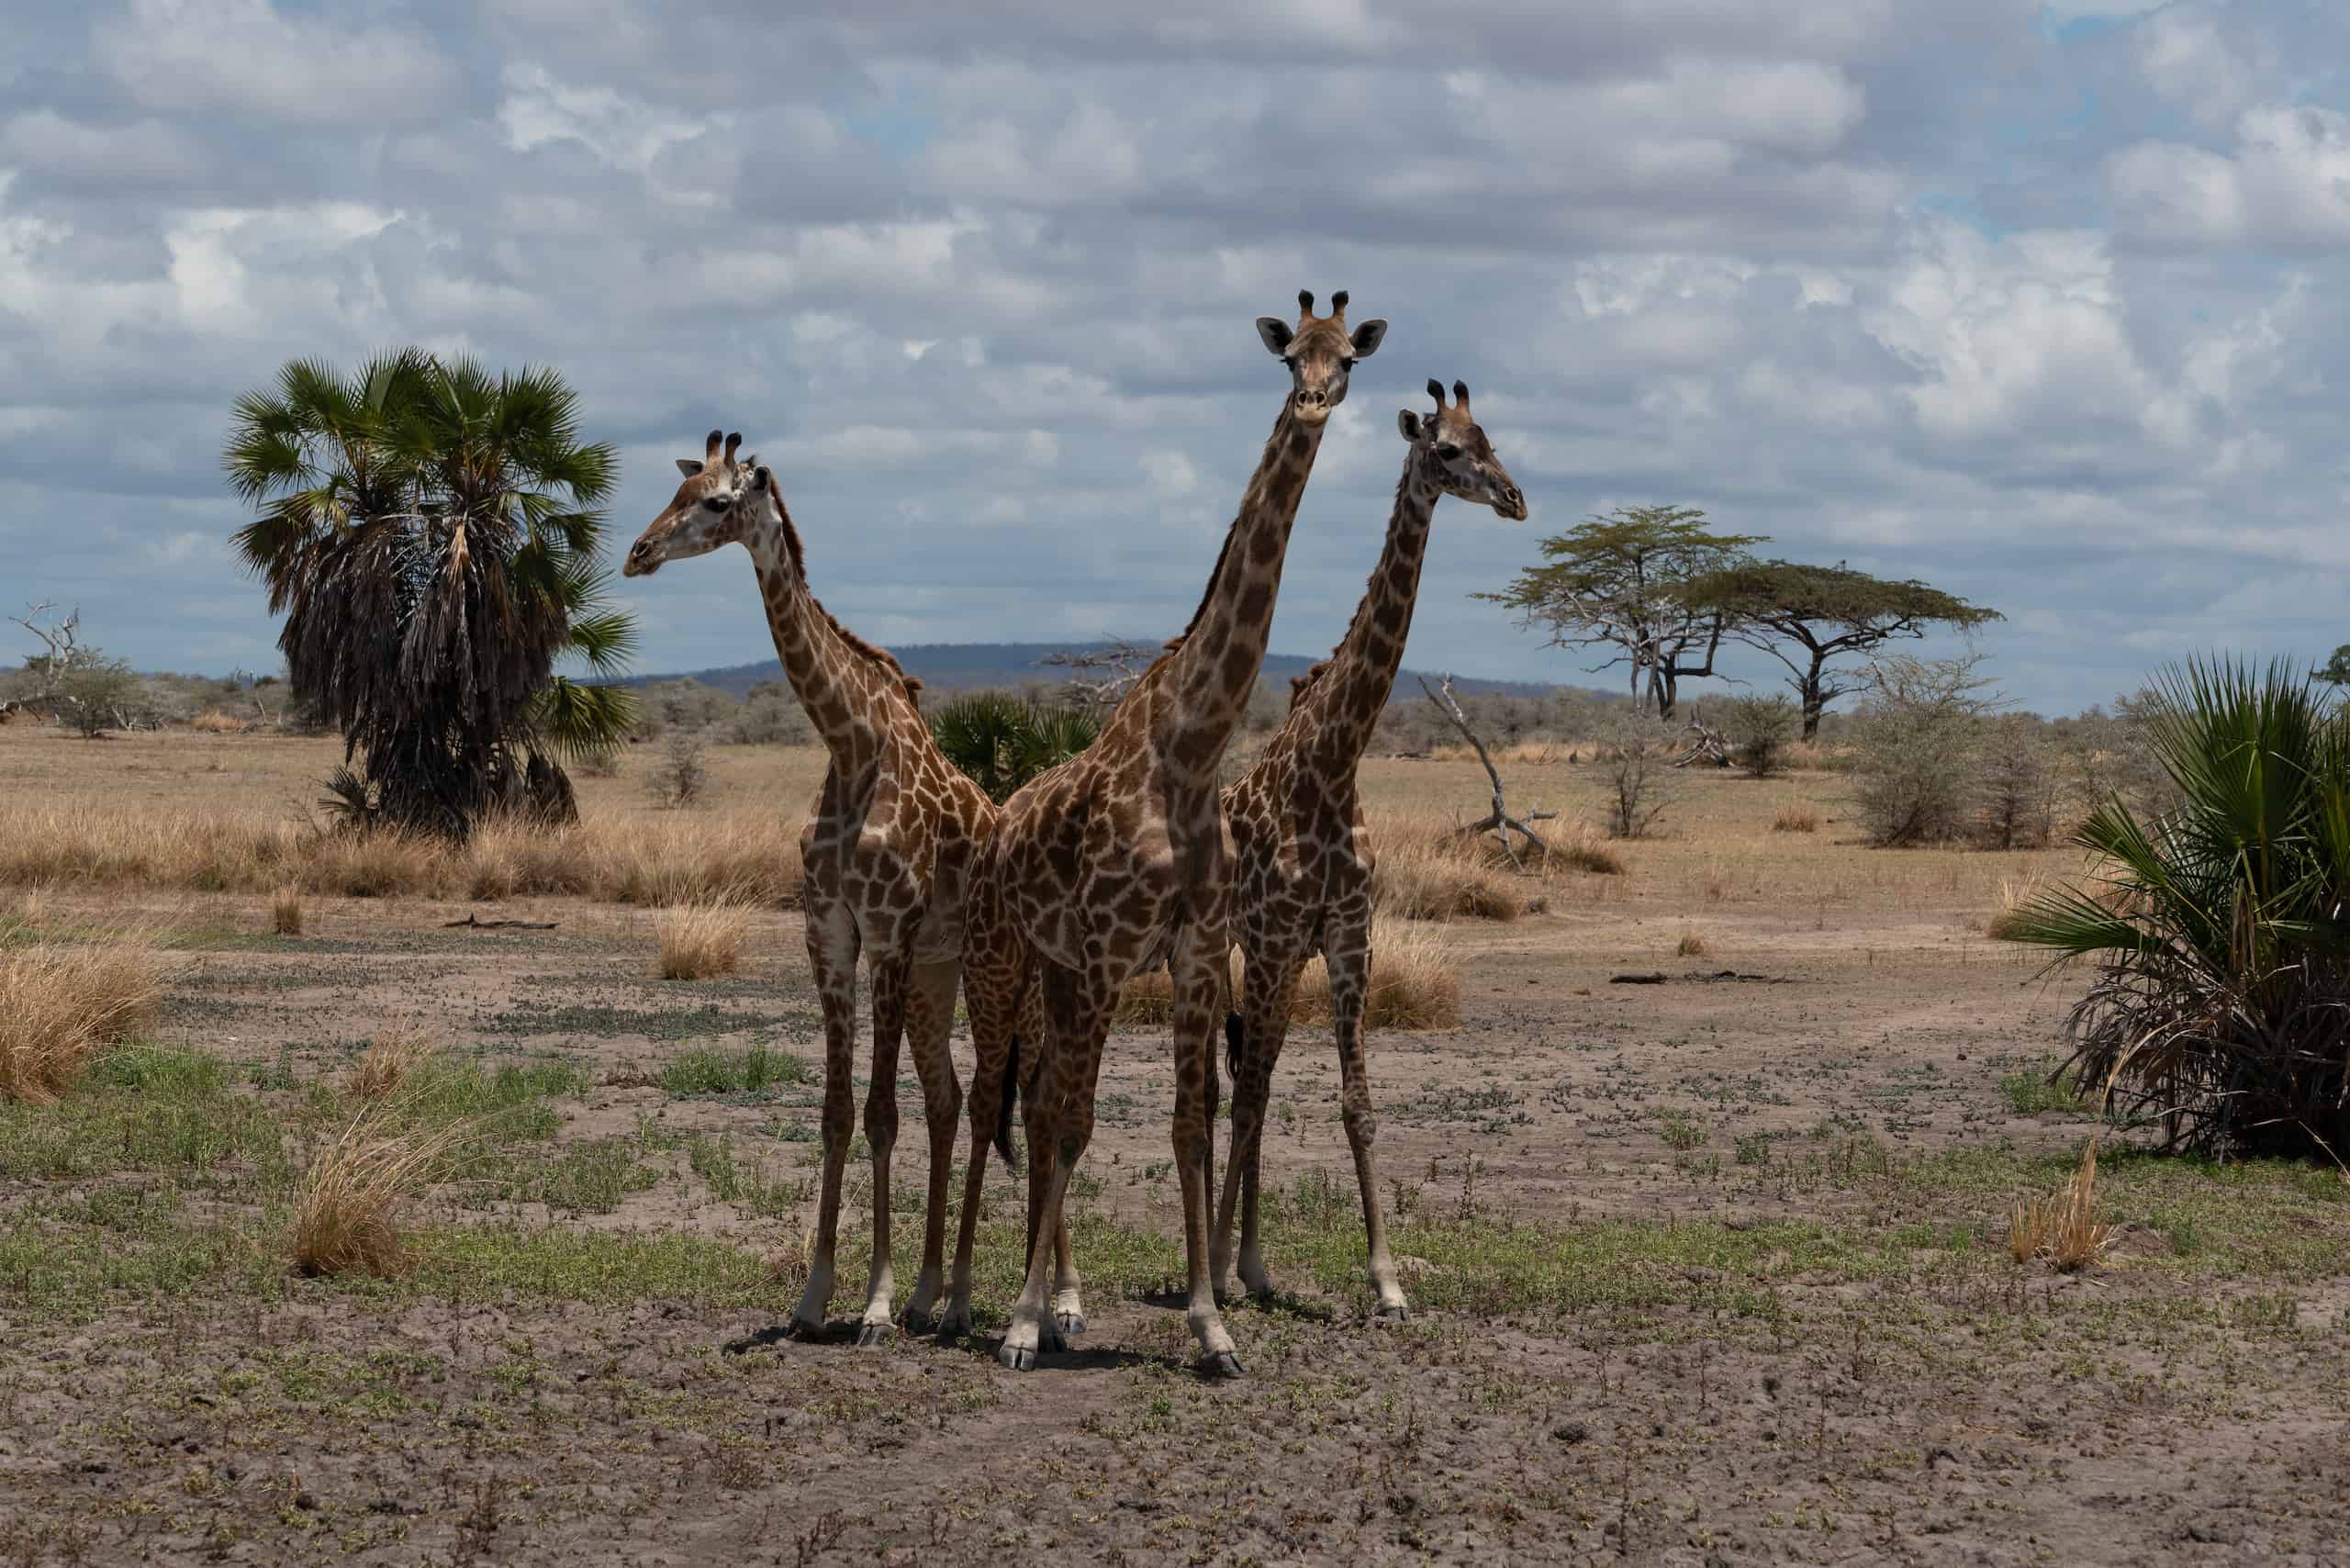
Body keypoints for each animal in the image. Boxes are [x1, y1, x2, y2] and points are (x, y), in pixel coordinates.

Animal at [620, 434, 987, 1344]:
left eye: (718, 501)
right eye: (676, 487)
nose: (637, 554)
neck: (851, 743)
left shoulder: (887, 934)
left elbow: (882, 1115)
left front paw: (876, 1305)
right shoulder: (830, 936)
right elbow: (838, 1114)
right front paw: (817, 1297)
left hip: (997, 969)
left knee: (1002, 1099)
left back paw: (966, 1299)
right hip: (937, 974)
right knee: (951, 1098)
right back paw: (932, 1292)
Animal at [940, 291, 1382, 1372]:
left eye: (1349, 360)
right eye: (1288, 358)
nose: (1313, 404)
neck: (1191, 747)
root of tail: (998, 822)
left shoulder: (1190, 950)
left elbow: (1187, 1126)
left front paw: (1211, 1324)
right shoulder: (1109, 951)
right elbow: (1077, 1124)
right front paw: (1020, 1325)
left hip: (1059, 972)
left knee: (1038, 1096)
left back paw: (1062, 1298)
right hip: (1008, 959)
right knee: (1001, 1099)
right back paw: (967, 1299)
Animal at [1212, 385, 1522, 1316]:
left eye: (1491, 439)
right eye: (1447, 450)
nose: (1514, 498)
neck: (1333, 761)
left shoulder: (1349, 939)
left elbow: (1358, 1105)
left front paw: (1387, 1281)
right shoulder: (1281, 939)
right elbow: (1251, 1099)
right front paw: (1215, 1269)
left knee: (1255, 1067)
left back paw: (1255, 1265)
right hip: (1220, 950)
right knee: (1227, 1083)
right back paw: (1220, 1262)